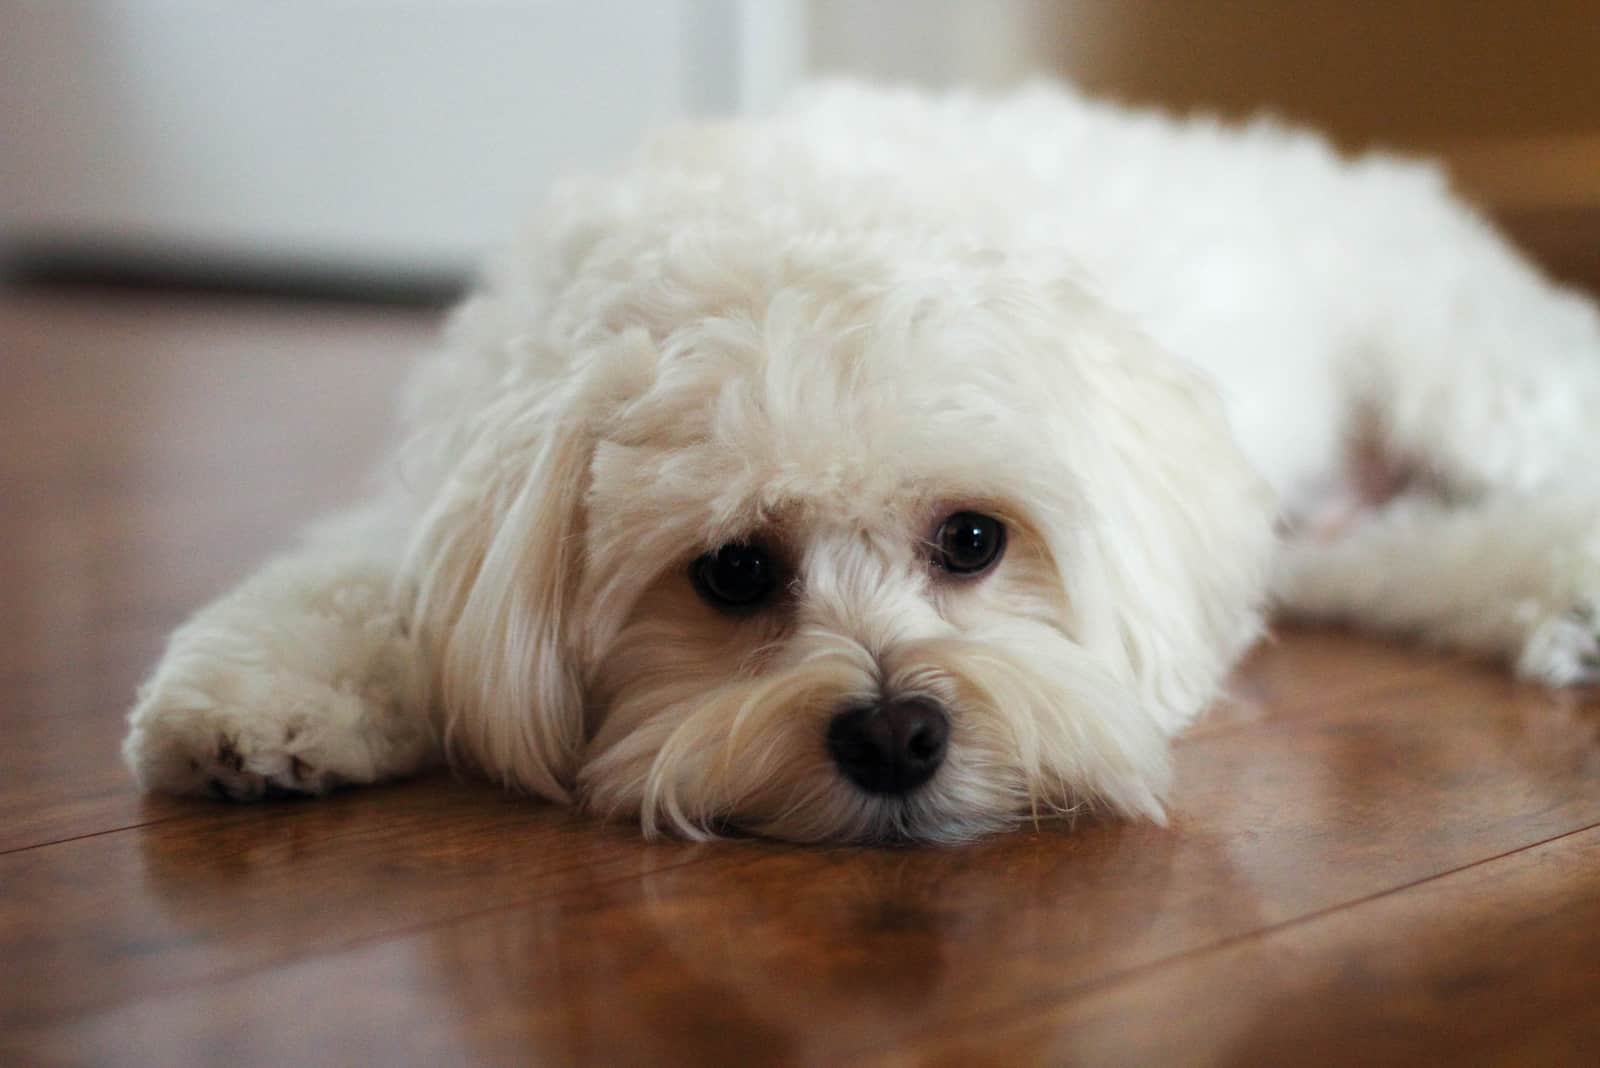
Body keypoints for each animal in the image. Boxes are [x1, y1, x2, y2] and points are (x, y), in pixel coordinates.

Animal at [121, 83, 1600, 844]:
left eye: (972, 540)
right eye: (730, 571)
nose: (896, 734)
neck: (778, 232)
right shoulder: (446, 482)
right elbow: (353, 585)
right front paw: (255, 705)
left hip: (1467, 384)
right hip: (1339, 538)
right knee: (1441, 553)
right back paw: (1561, 600)